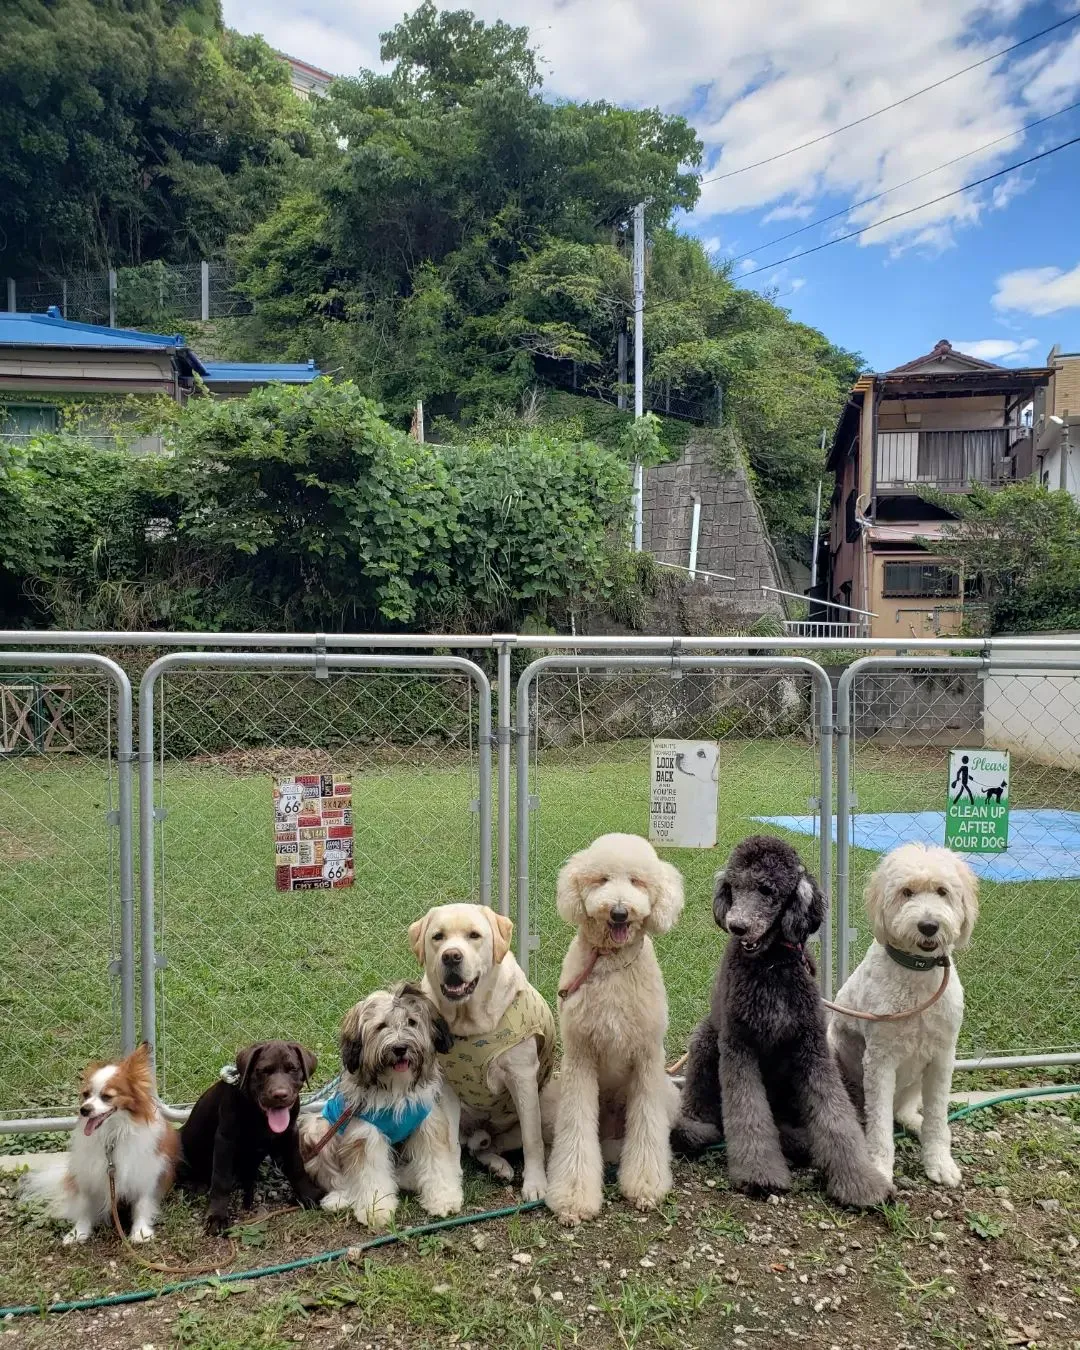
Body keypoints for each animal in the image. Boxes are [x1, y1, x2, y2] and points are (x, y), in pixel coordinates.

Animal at [297, 988, 461, 1231]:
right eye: (381, 1026)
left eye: (411, 1022)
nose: (400, 1048)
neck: (397, 1090)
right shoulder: (365, 1133)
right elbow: (370, 1175)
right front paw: (376, 1209)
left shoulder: (427, 1124)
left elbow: (436, 1164)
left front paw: (444, 1198)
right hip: (319, 1129)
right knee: (336, 1177)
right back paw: (340, 1198)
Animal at [545, 831, 688, 1225]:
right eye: (602, 879)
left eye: (637, 881)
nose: (620, 911)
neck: (611, 963)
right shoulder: (580, 1058)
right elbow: (576, 1131)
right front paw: (573, 1198)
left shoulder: (647, 1059)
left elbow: (647, 1127)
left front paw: (645, 1186)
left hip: (667, 1093)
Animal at [826, 847, 977, 1188]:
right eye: (906, 892)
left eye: (942, 891)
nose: (929, 925)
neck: (916, 973)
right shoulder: (880, 1061)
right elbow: (880, 1126)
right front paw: (880, 1168)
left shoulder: (942, 1058)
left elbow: (937, 1116)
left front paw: (939, 1161)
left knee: (905, 1114)